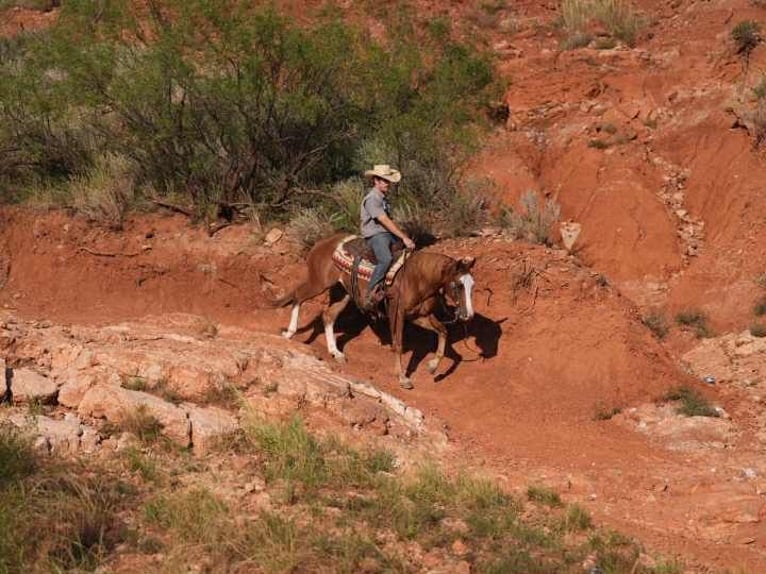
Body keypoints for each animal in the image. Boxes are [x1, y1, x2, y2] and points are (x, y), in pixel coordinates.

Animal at [271, 232, 476, 389]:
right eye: (458, 285)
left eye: (472, 285)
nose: (469, 315)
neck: (418, 278)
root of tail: (321, 243)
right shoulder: (397, 313)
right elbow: (398, 344)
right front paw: (402, 378)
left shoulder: (419, 315)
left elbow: (443, 331)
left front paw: (433, 367)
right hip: (319, 283)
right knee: (298, 297)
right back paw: (289, 333)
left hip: (343, 294)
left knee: (328, 316)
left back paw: (335, 352)